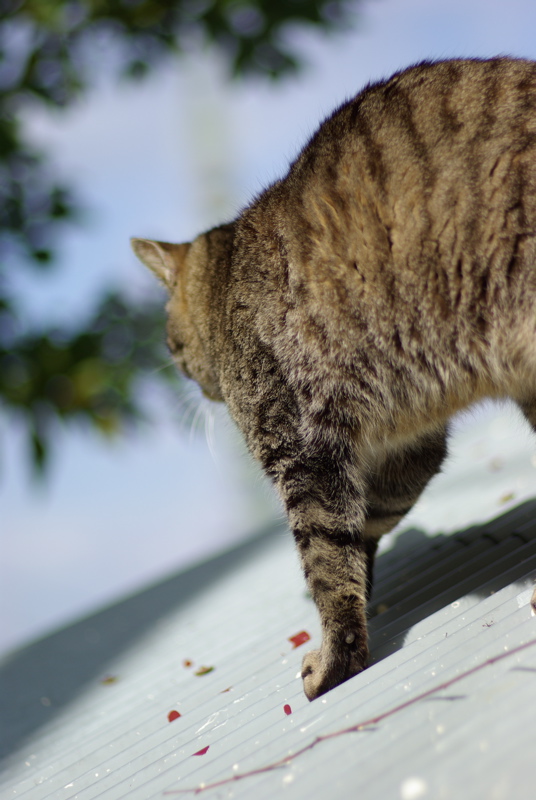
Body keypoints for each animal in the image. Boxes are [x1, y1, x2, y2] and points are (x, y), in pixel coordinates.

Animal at [132, 57, 536, 700]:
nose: (193, 386)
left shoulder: (301, 449)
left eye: (171, 346)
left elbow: (324, 555)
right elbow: (358, 533)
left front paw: (336, 658)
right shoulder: (405, 447)